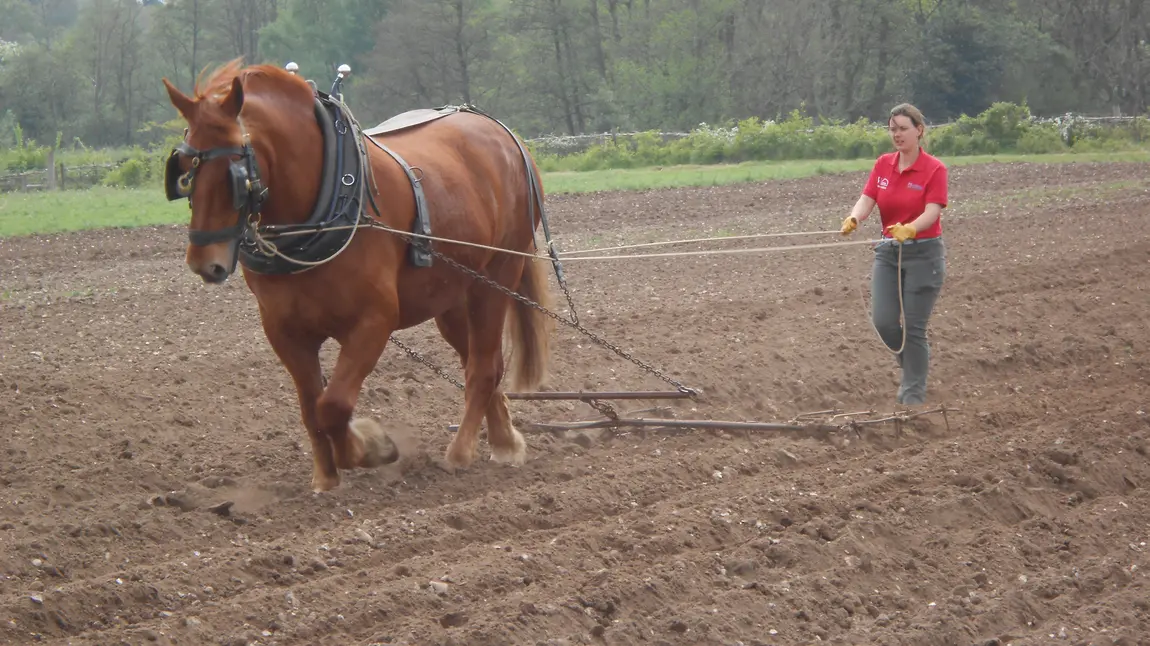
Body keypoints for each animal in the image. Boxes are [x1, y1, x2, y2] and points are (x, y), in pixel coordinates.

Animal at [162, 61, 552, 491]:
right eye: (184, 172)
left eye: (235, 173)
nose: (204, 262)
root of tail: (502, 133)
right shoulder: (284, 332)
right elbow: (311, 408)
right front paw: (325, 478)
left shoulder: (373, 322)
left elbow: (334, 404)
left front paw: (370, 447)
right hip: (451, 300)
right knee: (485, 363)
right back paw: (505, 442)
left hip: (495, 278)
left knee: (482, 368)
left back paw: (461, 453)